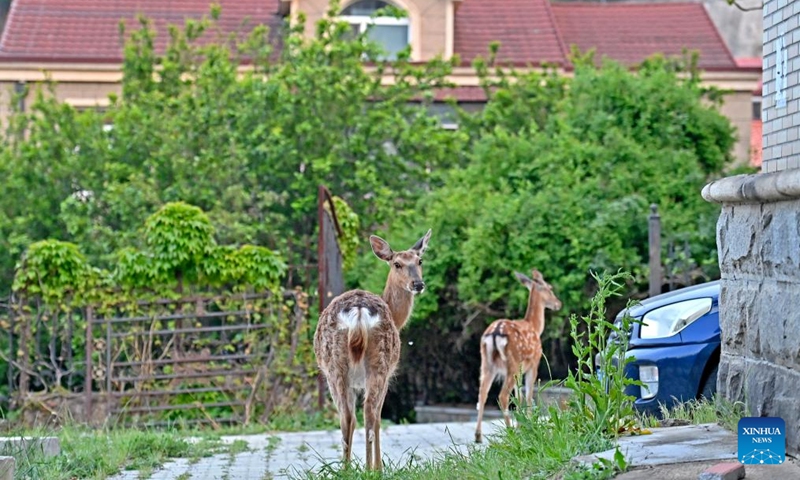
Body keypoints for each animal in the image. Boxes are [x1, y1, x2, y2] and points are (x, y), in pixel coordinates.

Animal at [314, 229, 431, 470]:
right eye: (397, 264)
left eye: (419, 260)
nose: (418, 284)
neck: (397, 318)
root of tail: (359, 311)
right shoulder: (389, 374)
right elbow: (378, 417)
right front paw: (380, 466)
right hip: (380, 362)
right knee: (368, 413)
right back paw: (368, 469)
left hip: (337, 365)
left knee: (348, 416)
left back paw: (348, 469)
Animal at [474, 268, 562, 443]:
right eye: (549, 288)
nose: (558, 303)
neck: (535, 327)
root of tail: (494, 334)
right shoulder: (534, 363)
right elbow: (527, 396)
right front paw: (529, 426)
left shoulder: (521, 370)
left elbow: (519, 397)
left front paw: (522, 425)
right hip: (512, 363)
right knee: (502, 396)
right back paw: (510, 432)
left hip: (487, 364)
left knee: (482, 394)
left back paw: (478, 436)